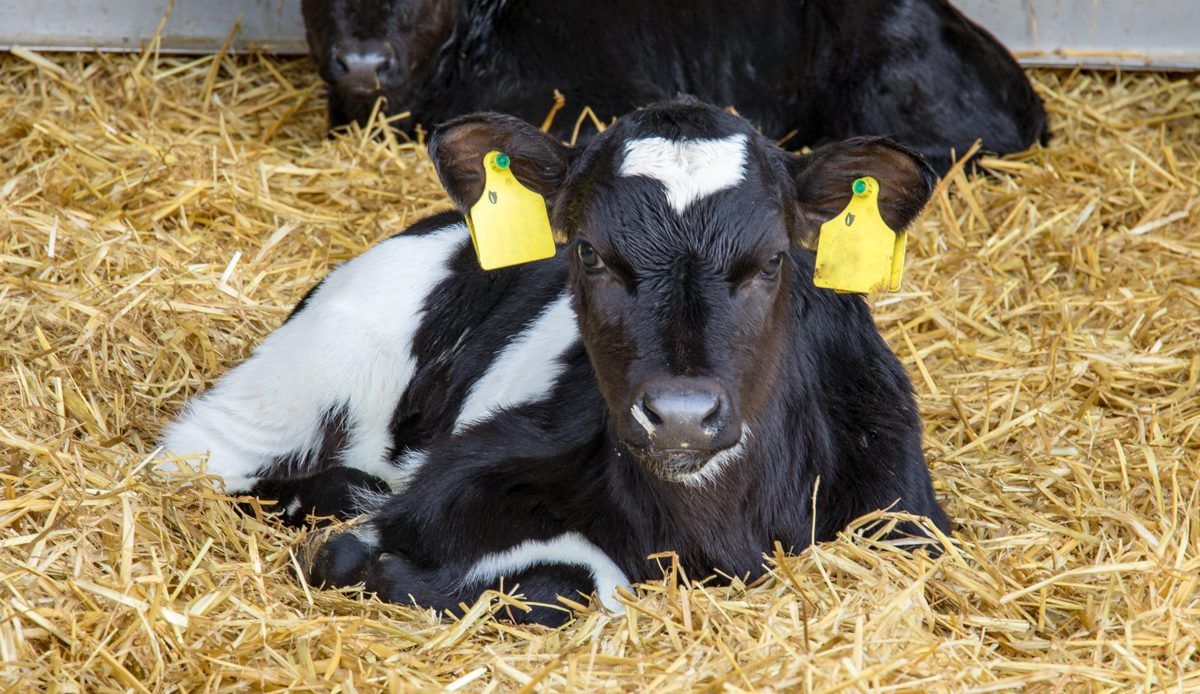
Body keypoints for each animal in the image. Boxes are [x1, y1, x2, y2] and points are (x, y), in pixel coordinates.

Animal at [160, 99, 952, 626]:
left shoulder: (908, 522)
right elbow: (562, 580)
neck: (717, 525)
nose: (680, 416)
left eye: (775, 260)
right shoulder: (451, 481)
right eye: (590, 252)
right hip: (280, 393)